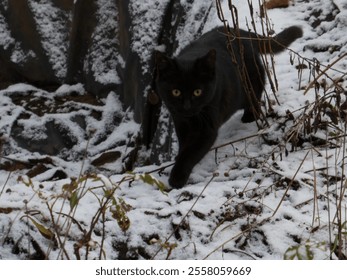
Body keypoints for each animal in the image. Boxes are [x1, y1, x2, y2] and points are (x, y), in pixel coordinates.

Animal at [154, 26, 302, 188]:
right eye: (176, 92)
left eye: (197, 92)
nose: (187, 106)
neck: (192, 119)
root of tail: (240, 32)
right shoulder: (180, 121)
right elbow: (184, 145)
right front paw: (178, 158)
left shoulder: (207, 128)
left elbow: (191, 152)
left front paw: (177, 177)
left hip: (250, 83)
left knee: (255, 99)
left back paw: (249, 117)